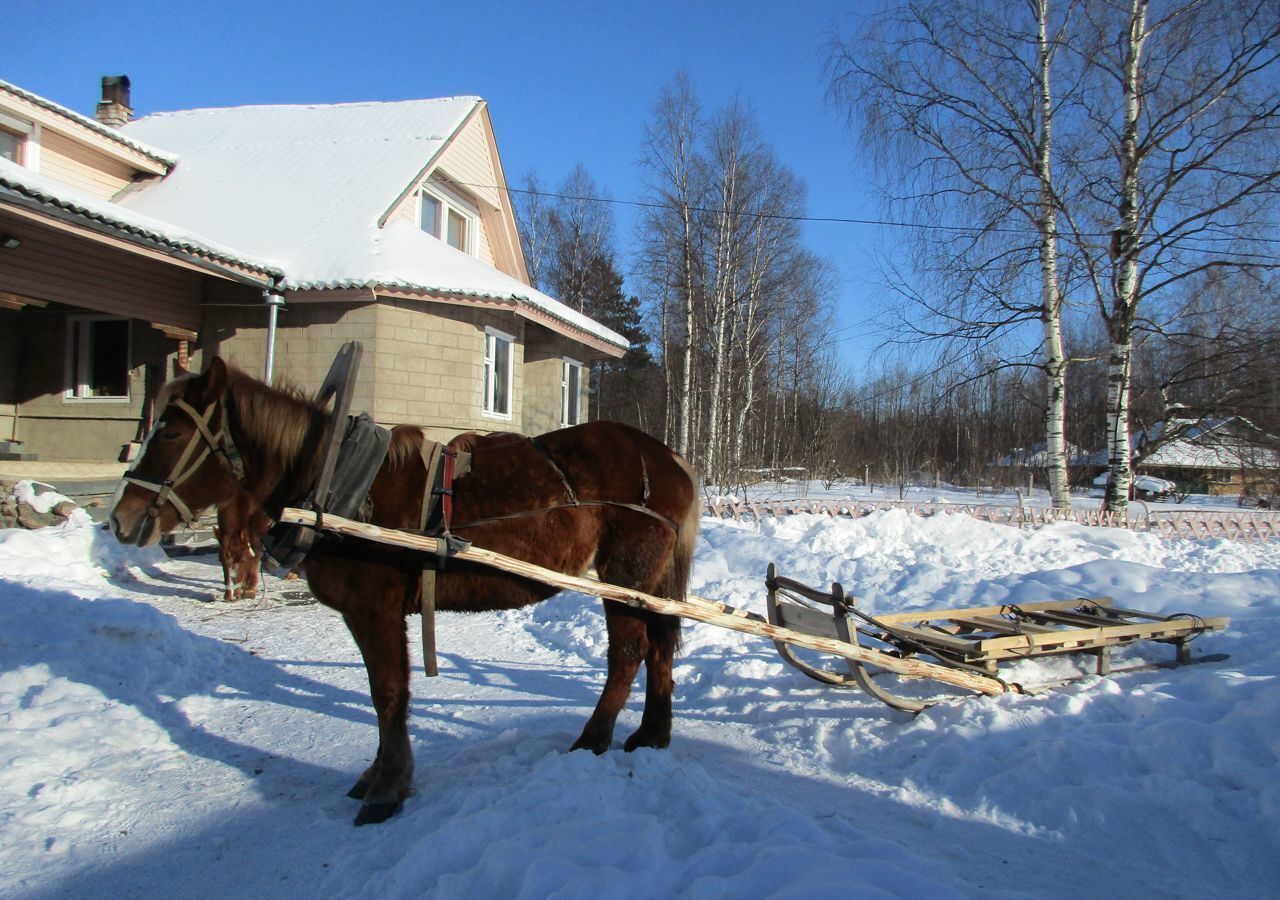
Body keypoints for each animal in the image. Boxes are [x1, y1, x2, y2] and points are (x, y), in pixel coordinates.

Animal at [108, 358, 701, 824]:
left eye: (170, 433)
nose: (120, 519)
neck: (335, 483)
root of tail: (669, 460)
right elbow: (386, 691)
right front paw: (378, 774)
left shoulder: (374, 609)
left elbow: (388, 692)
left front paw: (388, 787)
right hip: (649, 582)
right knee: (658, 648)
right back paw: (652, 734)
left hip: (626, 576)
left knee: (628, 652)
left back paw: (593, 740)